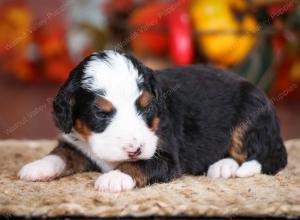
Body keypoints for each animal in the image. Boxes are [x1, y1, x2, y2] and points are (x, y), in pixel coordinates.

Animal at [17, 50, 288, 192]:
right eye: (101, 113)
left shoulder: (166, 156)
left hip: (249, 115)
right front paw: (37, 167)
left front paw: (115, 177)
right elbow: (61, 154)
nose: (134, 149)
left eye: (146, 107)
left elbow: (140, 165)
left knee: (260, 157)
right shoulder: (76, 143)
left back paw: (224, 167)